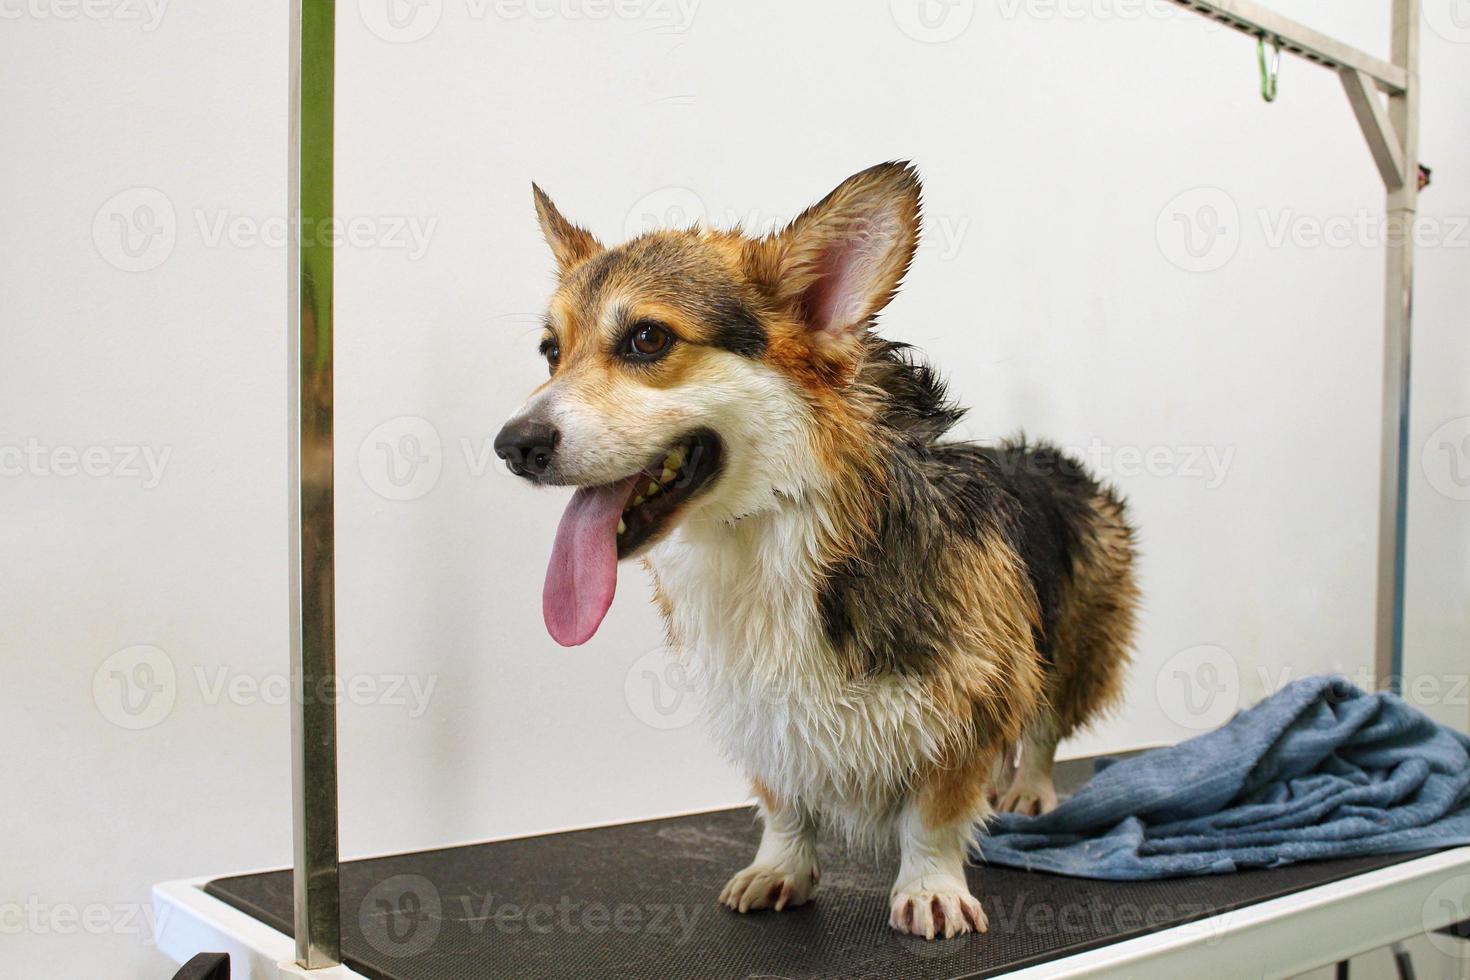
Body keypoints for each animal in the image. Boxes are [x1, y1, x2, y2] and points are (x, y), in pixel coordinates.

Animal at [493, 163, 1134, 940]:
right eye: (551, 352)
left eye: (646, 339)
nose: (513, 446)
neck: (770, 531)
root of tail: (1046, 456)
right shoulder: (766, 714)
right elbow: (784, 806)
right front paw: (780, 869)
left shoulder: (972, 693)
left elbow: (934, 814)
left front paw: (930, 889)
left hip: (1069, 645)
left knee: (1043, 729)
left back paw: (1030, 791)